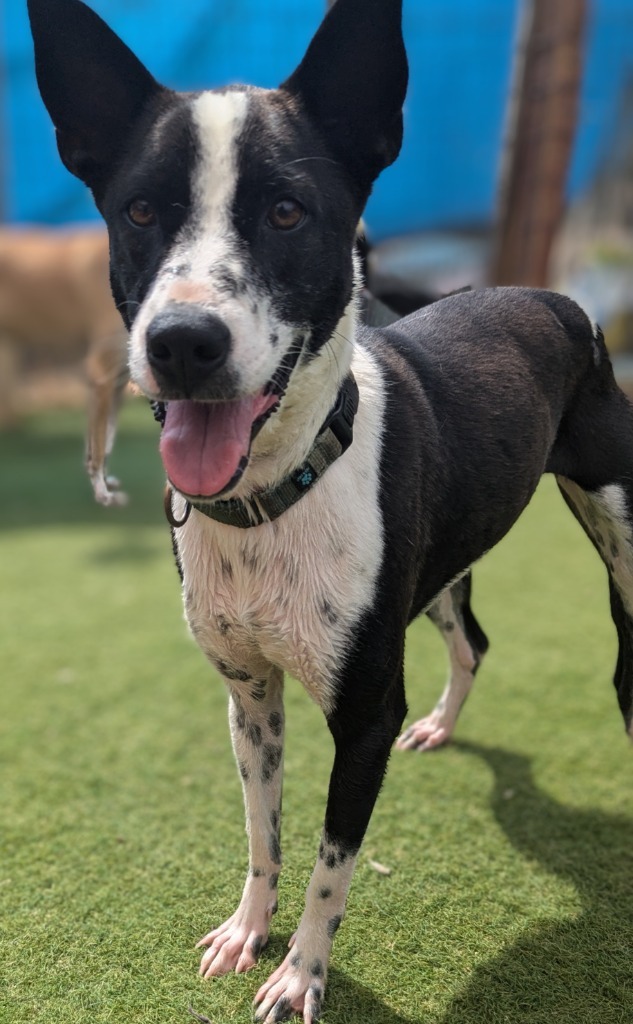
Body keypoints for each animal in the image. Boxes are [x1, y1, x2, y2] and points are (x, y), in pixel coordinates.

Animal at [28, 0, 630, 1019]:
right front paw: (247, 932)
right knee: (473, 639)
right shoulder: (248, 695)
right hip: (436, 564)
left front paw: (301, 974)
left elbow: (328, 863)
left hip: (616, 531)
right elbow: (263, 833)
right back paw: (444, 725)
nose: (181, 341)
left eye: (286, 211)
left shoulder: (364, 715)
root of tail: (553, 293)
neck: (271, 498)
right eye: (139, 210)